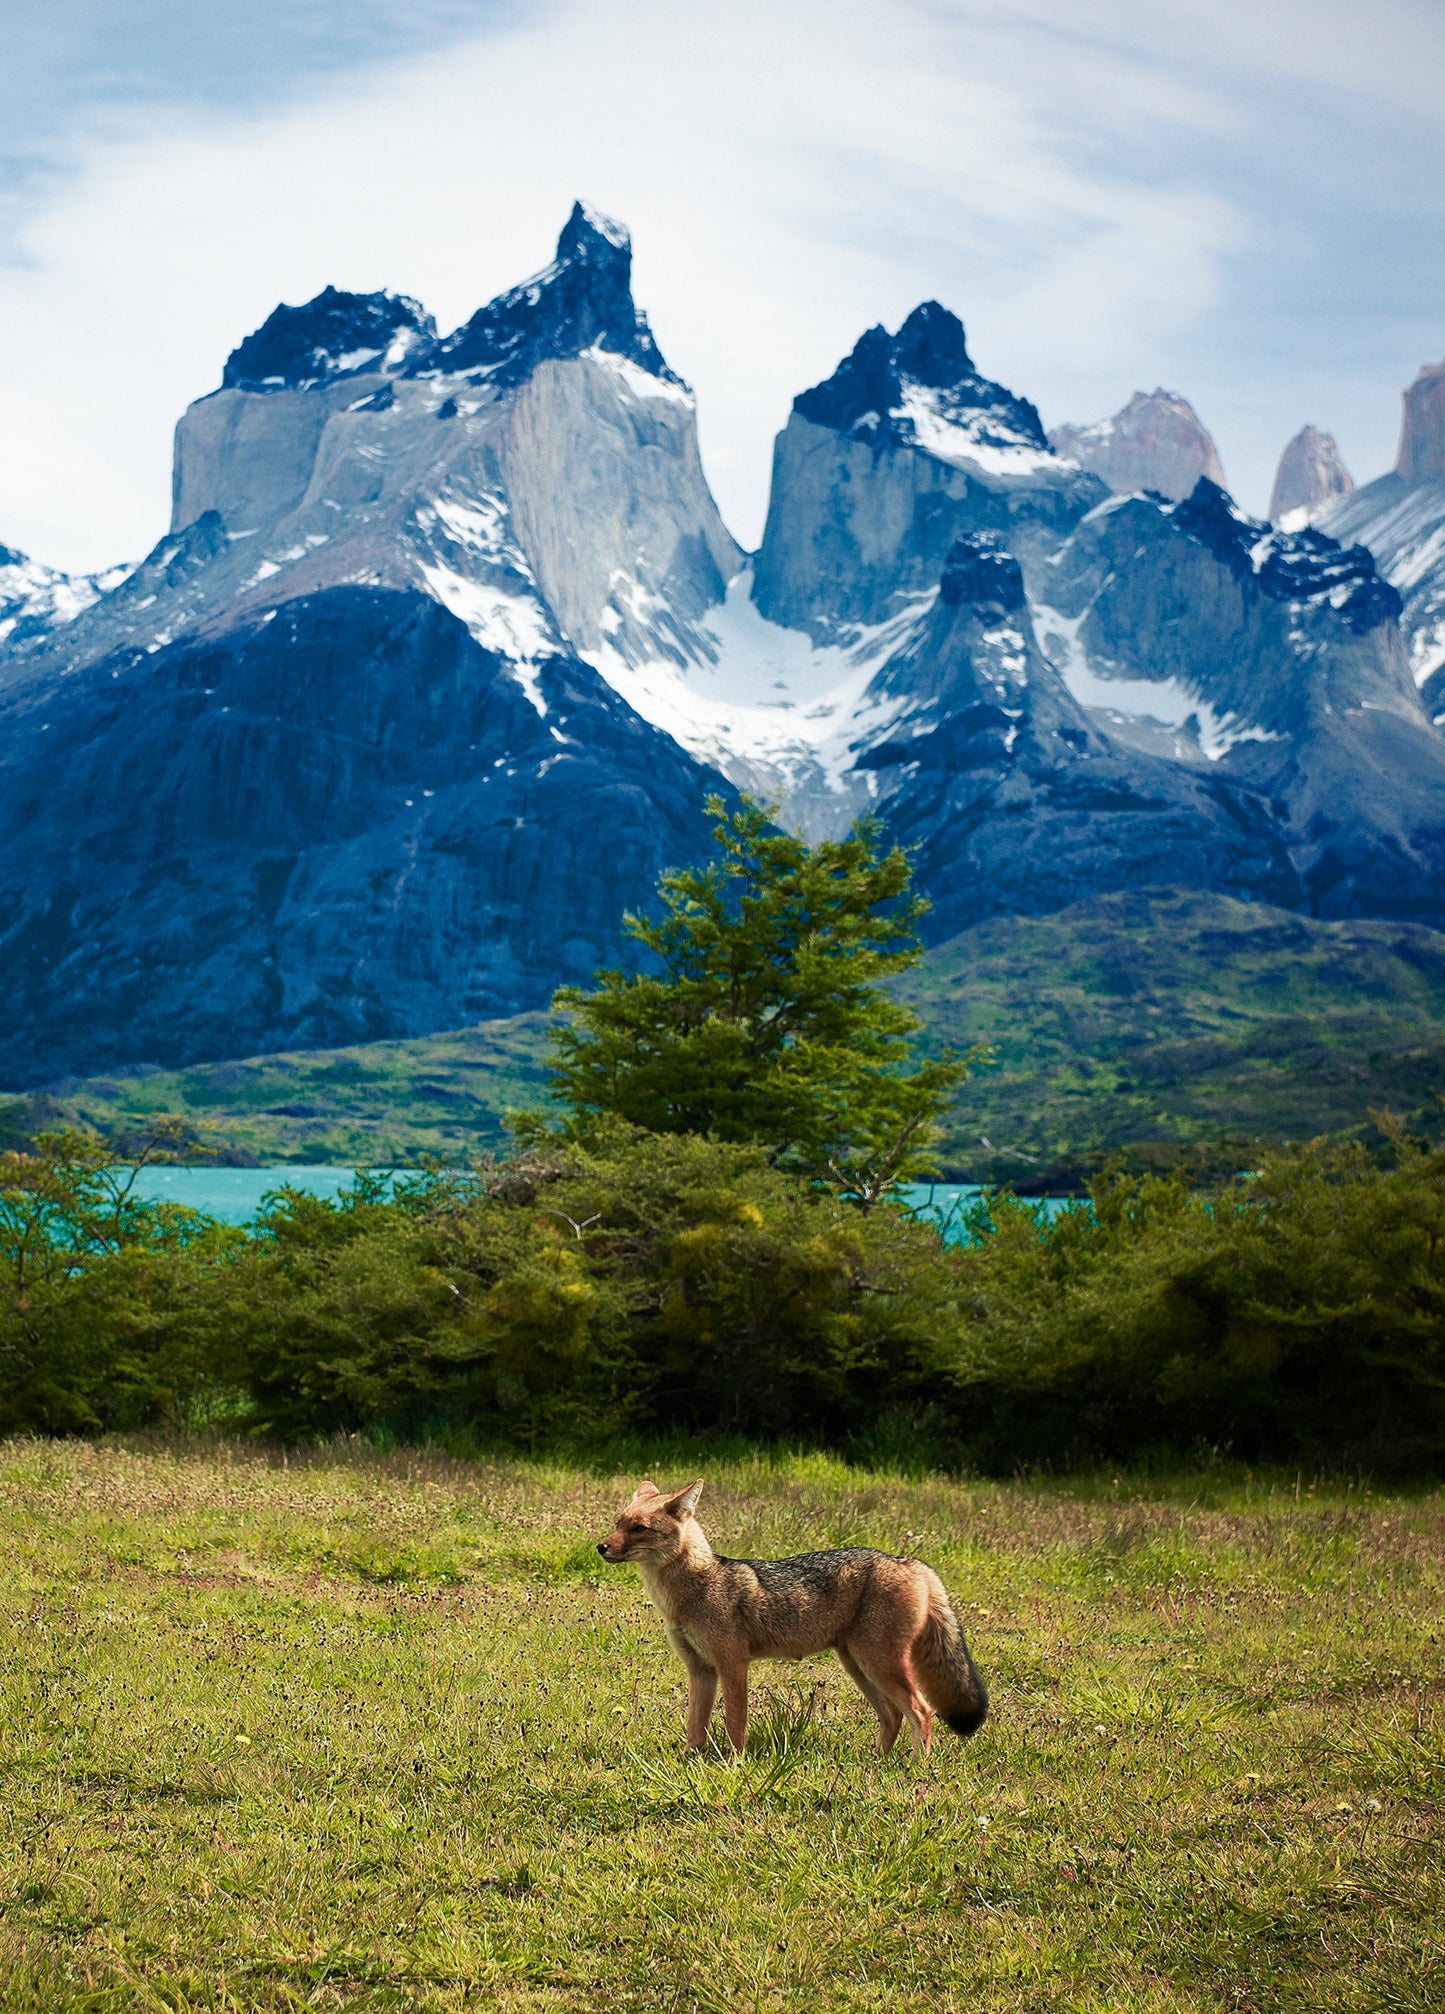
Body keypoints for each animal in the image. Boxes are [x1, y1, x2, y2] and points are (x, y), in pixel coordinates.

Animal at [597, 1478, 987, 1757]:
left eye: (639, 1528)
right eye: (618, 1523)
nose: (601, 1547)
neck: (693, 1589)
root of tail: (910, 1562)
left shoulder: (733, 1665)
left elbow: (735, 1723)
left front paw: (733, 1765)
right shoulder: (701, 1670)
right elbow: (696, 1728)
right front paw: (687, 1765)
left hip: (879, 1665)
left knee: (921, 1712)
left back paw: (915, 1770)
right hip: (859, 1666)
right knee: (892, 1717)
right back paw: (877, 1764)